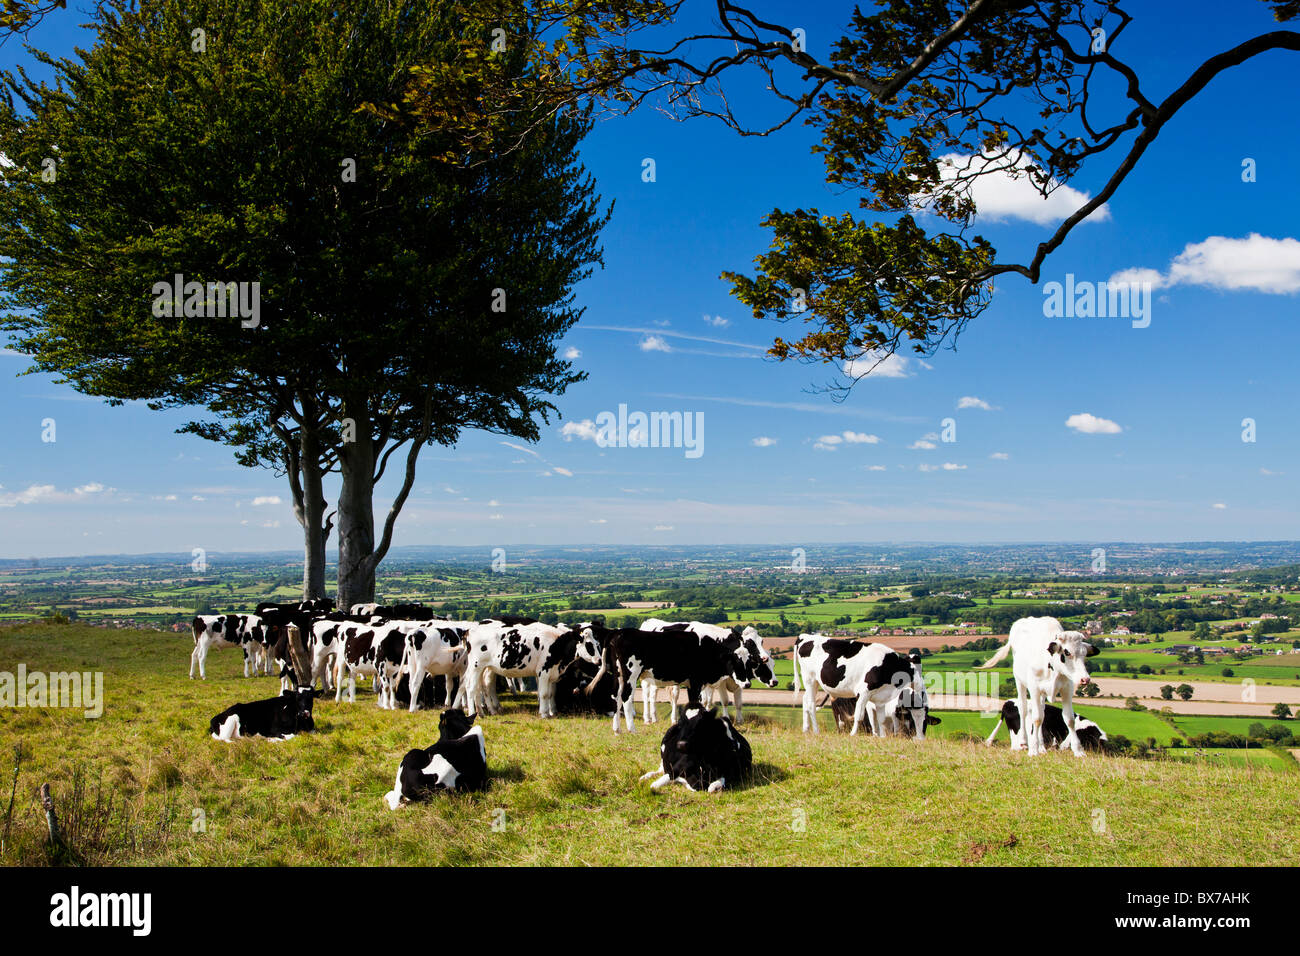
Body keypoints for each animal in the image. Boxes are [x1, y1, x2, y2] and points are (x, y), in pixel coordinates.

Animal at [457, 621, 598, 717]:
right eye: (589, 644)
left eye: (597, 644)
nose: (599, 660)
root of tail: (470, 630)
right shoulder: (543, 672)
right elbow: (544, 693)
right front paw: (544, 714)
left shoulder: (551, 674)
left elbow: (550, 693)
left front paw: (551, 712)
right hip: (476, 666)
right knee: (471, 688)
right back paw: (473, 713)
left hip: (484, 668)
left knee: (481, 687)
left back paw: (484, 711)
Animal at [585, 624, 748, 738]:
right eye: (736, 661)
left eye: (749, 660)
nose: (747, 683)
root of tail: (618, 632)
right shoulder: (695, 682)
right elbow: (695, 703)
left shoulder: (692, 683)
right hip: (630, 673)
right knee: (626, 697)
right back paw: (632, 729)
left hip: (618, 675)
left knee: (616, 697)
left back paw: (617, 729)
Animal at [785, 634, 930, 738]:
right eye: (912, 719)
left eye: (925, 721)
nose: (920, 738)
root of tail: (804, 636)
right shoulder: (863, 692)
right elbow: (859, 715)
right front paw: (853, 734)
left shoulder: (881, 698)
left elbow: (881, 719)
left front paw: (883, 737)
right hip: (809, 678)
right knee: (811, 705)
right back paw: (816, 731)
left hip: (814, 682)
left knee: (805, 701)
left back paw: (806, 729)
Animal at [977, 616, 1097, 759]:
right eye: (1067, 653)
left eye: (1084, 654)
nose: (1085, 679)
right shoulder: (1034, 689)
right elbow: (1036, 718)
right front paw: (1033, 750)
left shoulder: (1067, 689)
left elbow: (1069, 719)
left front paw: (1078, 750)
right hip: (1019, 681)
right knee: (1024, 709)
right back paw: (1024, 742)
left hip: (1042, 693)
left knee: (1042, 711)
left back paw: (1041, 746)